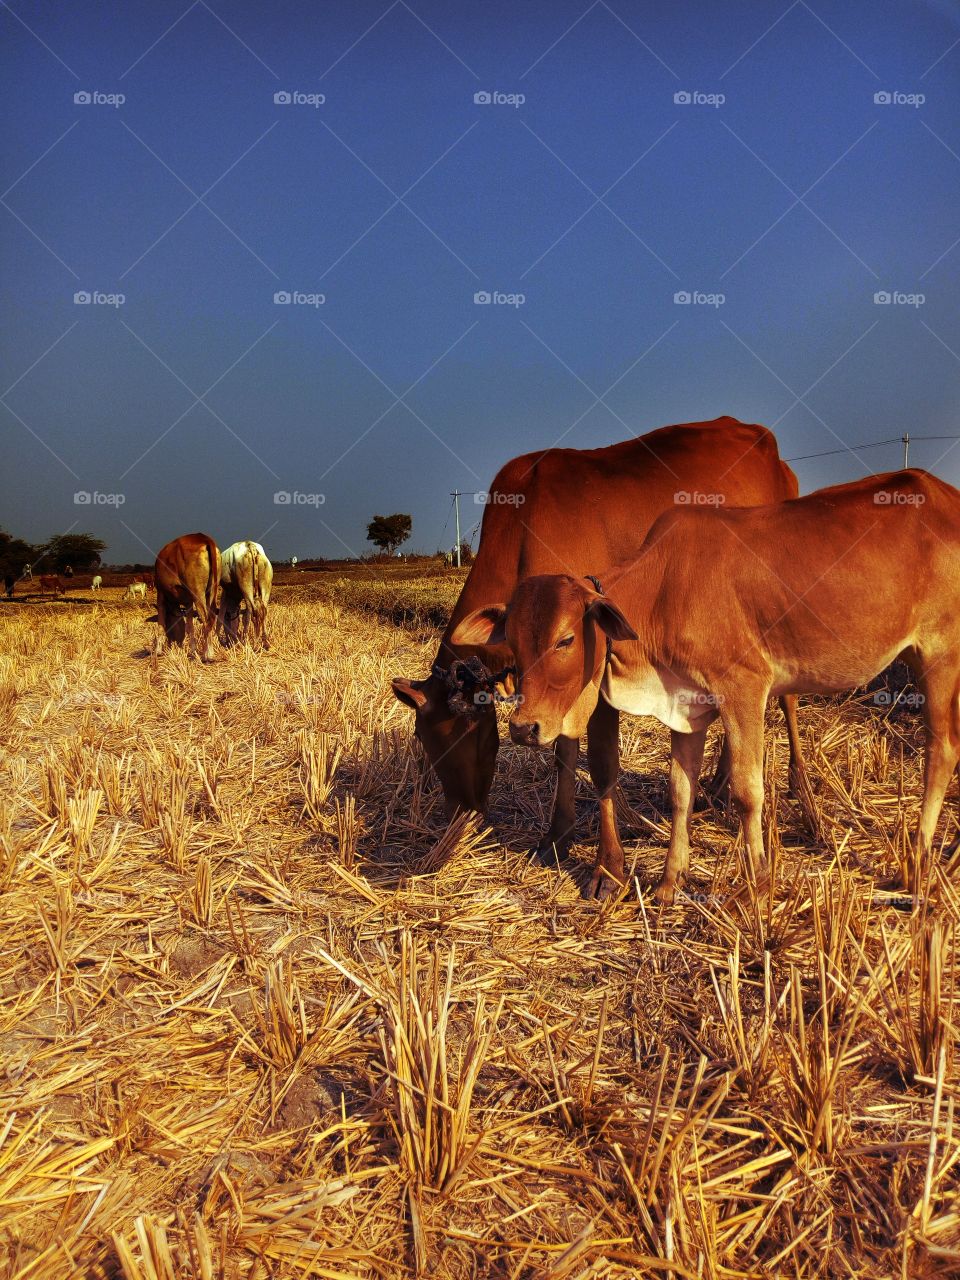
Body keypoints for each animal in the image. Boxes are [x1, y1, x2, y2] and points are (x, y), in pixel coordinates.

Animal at [152, 535, 221, 665]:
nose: (173, 642)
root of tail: (203, 537)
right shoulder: (188, 602)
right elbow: (190, 627)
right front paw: (193, 652)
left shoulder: (160, 595)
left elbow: (160, 623)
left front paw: (157, 651)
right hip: (211, 591)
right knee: (211, 618)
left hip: (197, 593)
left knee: (206, 620)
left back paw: (207, 655)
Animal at [391, 414, 814, 875]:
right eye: (422, 739)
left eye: (456, 736)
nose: (458, 814)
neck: (522, 528)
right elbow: (563, 750)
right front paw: (558, 835)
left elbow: (599, 762)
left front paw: (607, 864)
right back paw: (718, 786)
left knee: (787, 700)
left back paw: (801, 791)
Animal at [455, 468, 960, 901]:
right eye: (514, 643)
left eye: (566, 639)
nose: (524, 728)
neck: (662, 592)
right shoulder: (687, 706)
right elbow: (681, 791)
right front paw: (668, 883)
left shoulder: (743, 688)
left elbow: (748, 791)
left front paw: (759, 883)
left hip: (940, 657)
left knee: (942, 751)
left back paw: (916, 863)